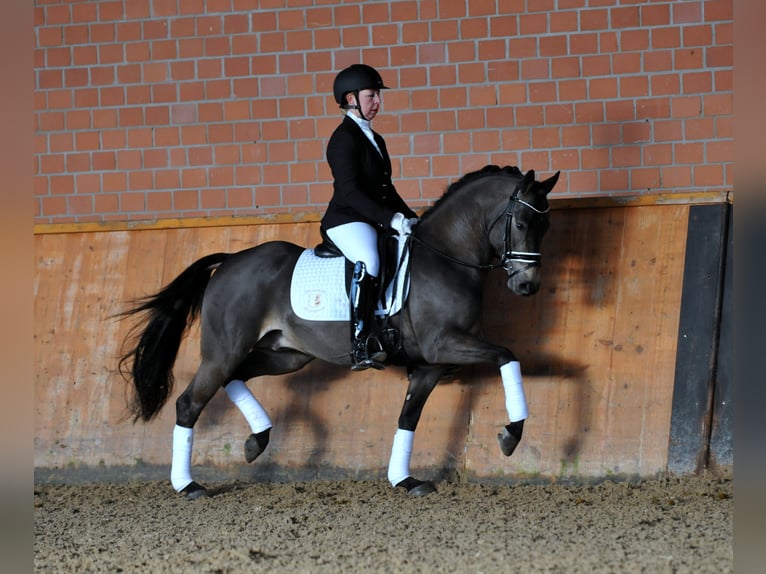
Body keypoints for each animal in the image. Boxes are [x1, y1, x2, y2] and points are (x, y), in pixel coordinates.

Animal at [117, 165, 560, 498]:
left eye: (546, 226)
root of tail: (229, 261)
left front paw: (404, 479)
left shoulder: (430, 363)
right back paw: (188, 486)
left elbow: (408, 417)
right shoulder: (443, 346)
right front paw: (511, 434)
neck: (446, 259)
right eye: (522, 222)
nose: (527, 286)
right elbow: (507, 355)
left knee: (236, 377)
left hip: (287, 355)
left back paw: (256, 441)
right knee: (190, 403)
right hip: (224, 351)